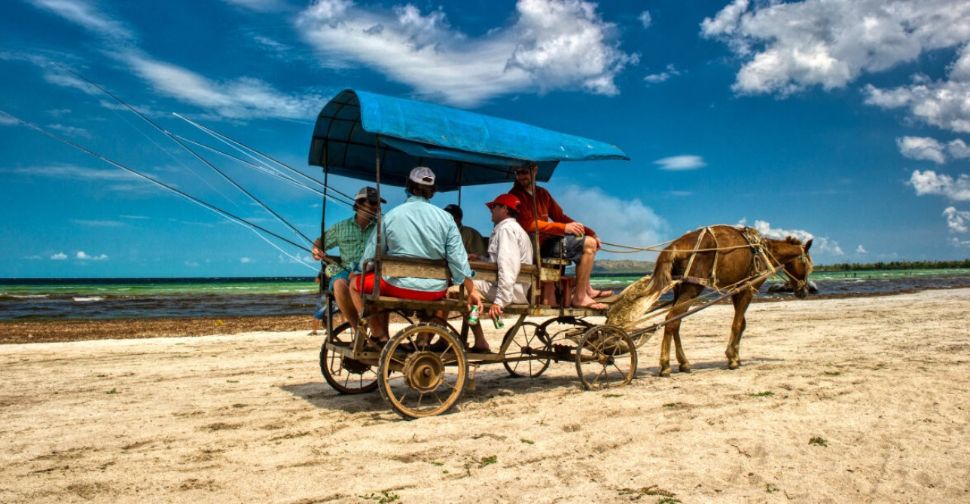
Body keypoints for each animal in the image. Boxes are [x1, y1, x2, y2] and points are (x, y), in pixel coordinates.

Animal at [604, 226, 808, 376]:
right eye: (806, 264)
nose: (805, 291)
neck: (763, 250)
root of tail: (675, 246)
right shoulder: (748, 288)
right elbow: (737, 324)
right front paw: (732, 359)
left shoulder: (736, 291)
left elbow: (741, 324)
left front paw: (736, 356)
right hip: (692, 289)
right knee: (671, 320)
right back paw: (665, 365)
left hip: (680, 288)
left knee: (676, 322)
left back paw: (683, 363)